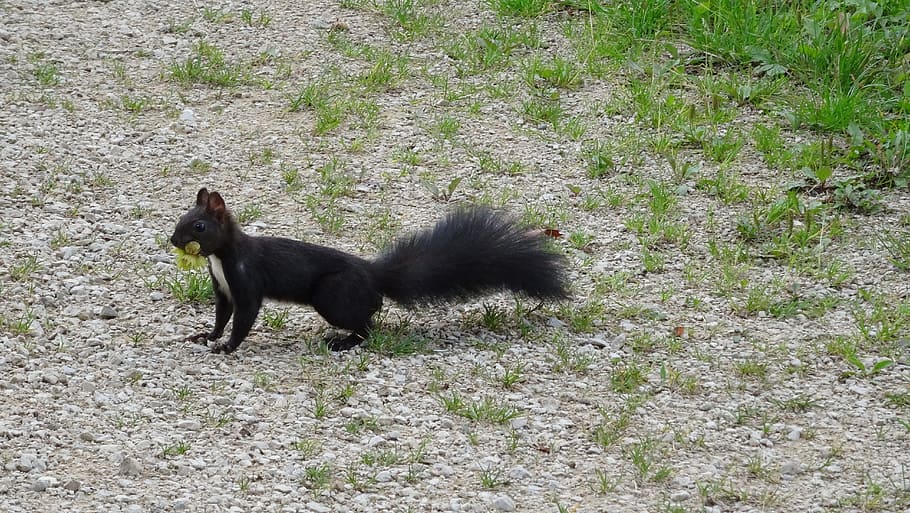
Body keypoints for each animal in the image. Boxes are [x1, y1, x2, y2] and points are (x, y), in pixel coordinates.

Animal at [170, 188, 570, 354]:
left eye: (199, 226)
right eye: (181, 218)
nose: (173, 240)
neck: (222, 258)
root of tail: (374, 274)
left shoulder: (247, 280)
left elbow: (244, 317)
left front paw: (227, 347)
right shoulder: (222, 288)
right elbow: (222, 315)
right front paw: (206, 336)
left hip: (332, 296)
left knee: (368, 322)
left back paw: (344, 342)